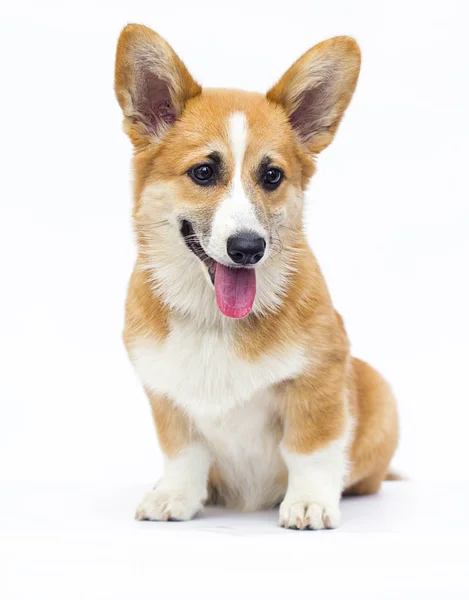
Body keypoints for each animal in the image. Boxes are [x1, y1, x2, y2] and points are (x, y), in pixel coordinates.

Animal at [114, 24, 398, 528]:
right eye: (203, 172)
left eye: (272, 176)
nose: (248, 248)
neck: (215, 319)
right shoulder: (165, 393)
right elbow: (183, 452)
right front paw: (174, 496)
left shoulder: (319, 379)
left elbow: (311, 448)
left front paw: (308, 503)